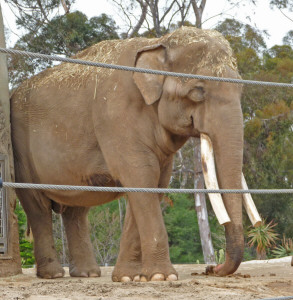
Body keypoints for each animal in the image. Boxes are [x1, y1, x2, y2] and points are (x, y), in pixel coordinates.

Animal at [10, 26, 246, 282]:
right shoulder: (115, 116)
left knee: (76, 209)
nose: (212, 268)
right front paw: (162, 277)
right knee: (38, 206)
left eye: (241, 87)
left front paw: (129, 278)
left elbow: (155, 181)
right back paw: (53, 275)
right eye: (198, 91)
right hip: (21, 151)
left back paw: (87, 274)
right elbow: (141, 175)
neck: (156, 43)